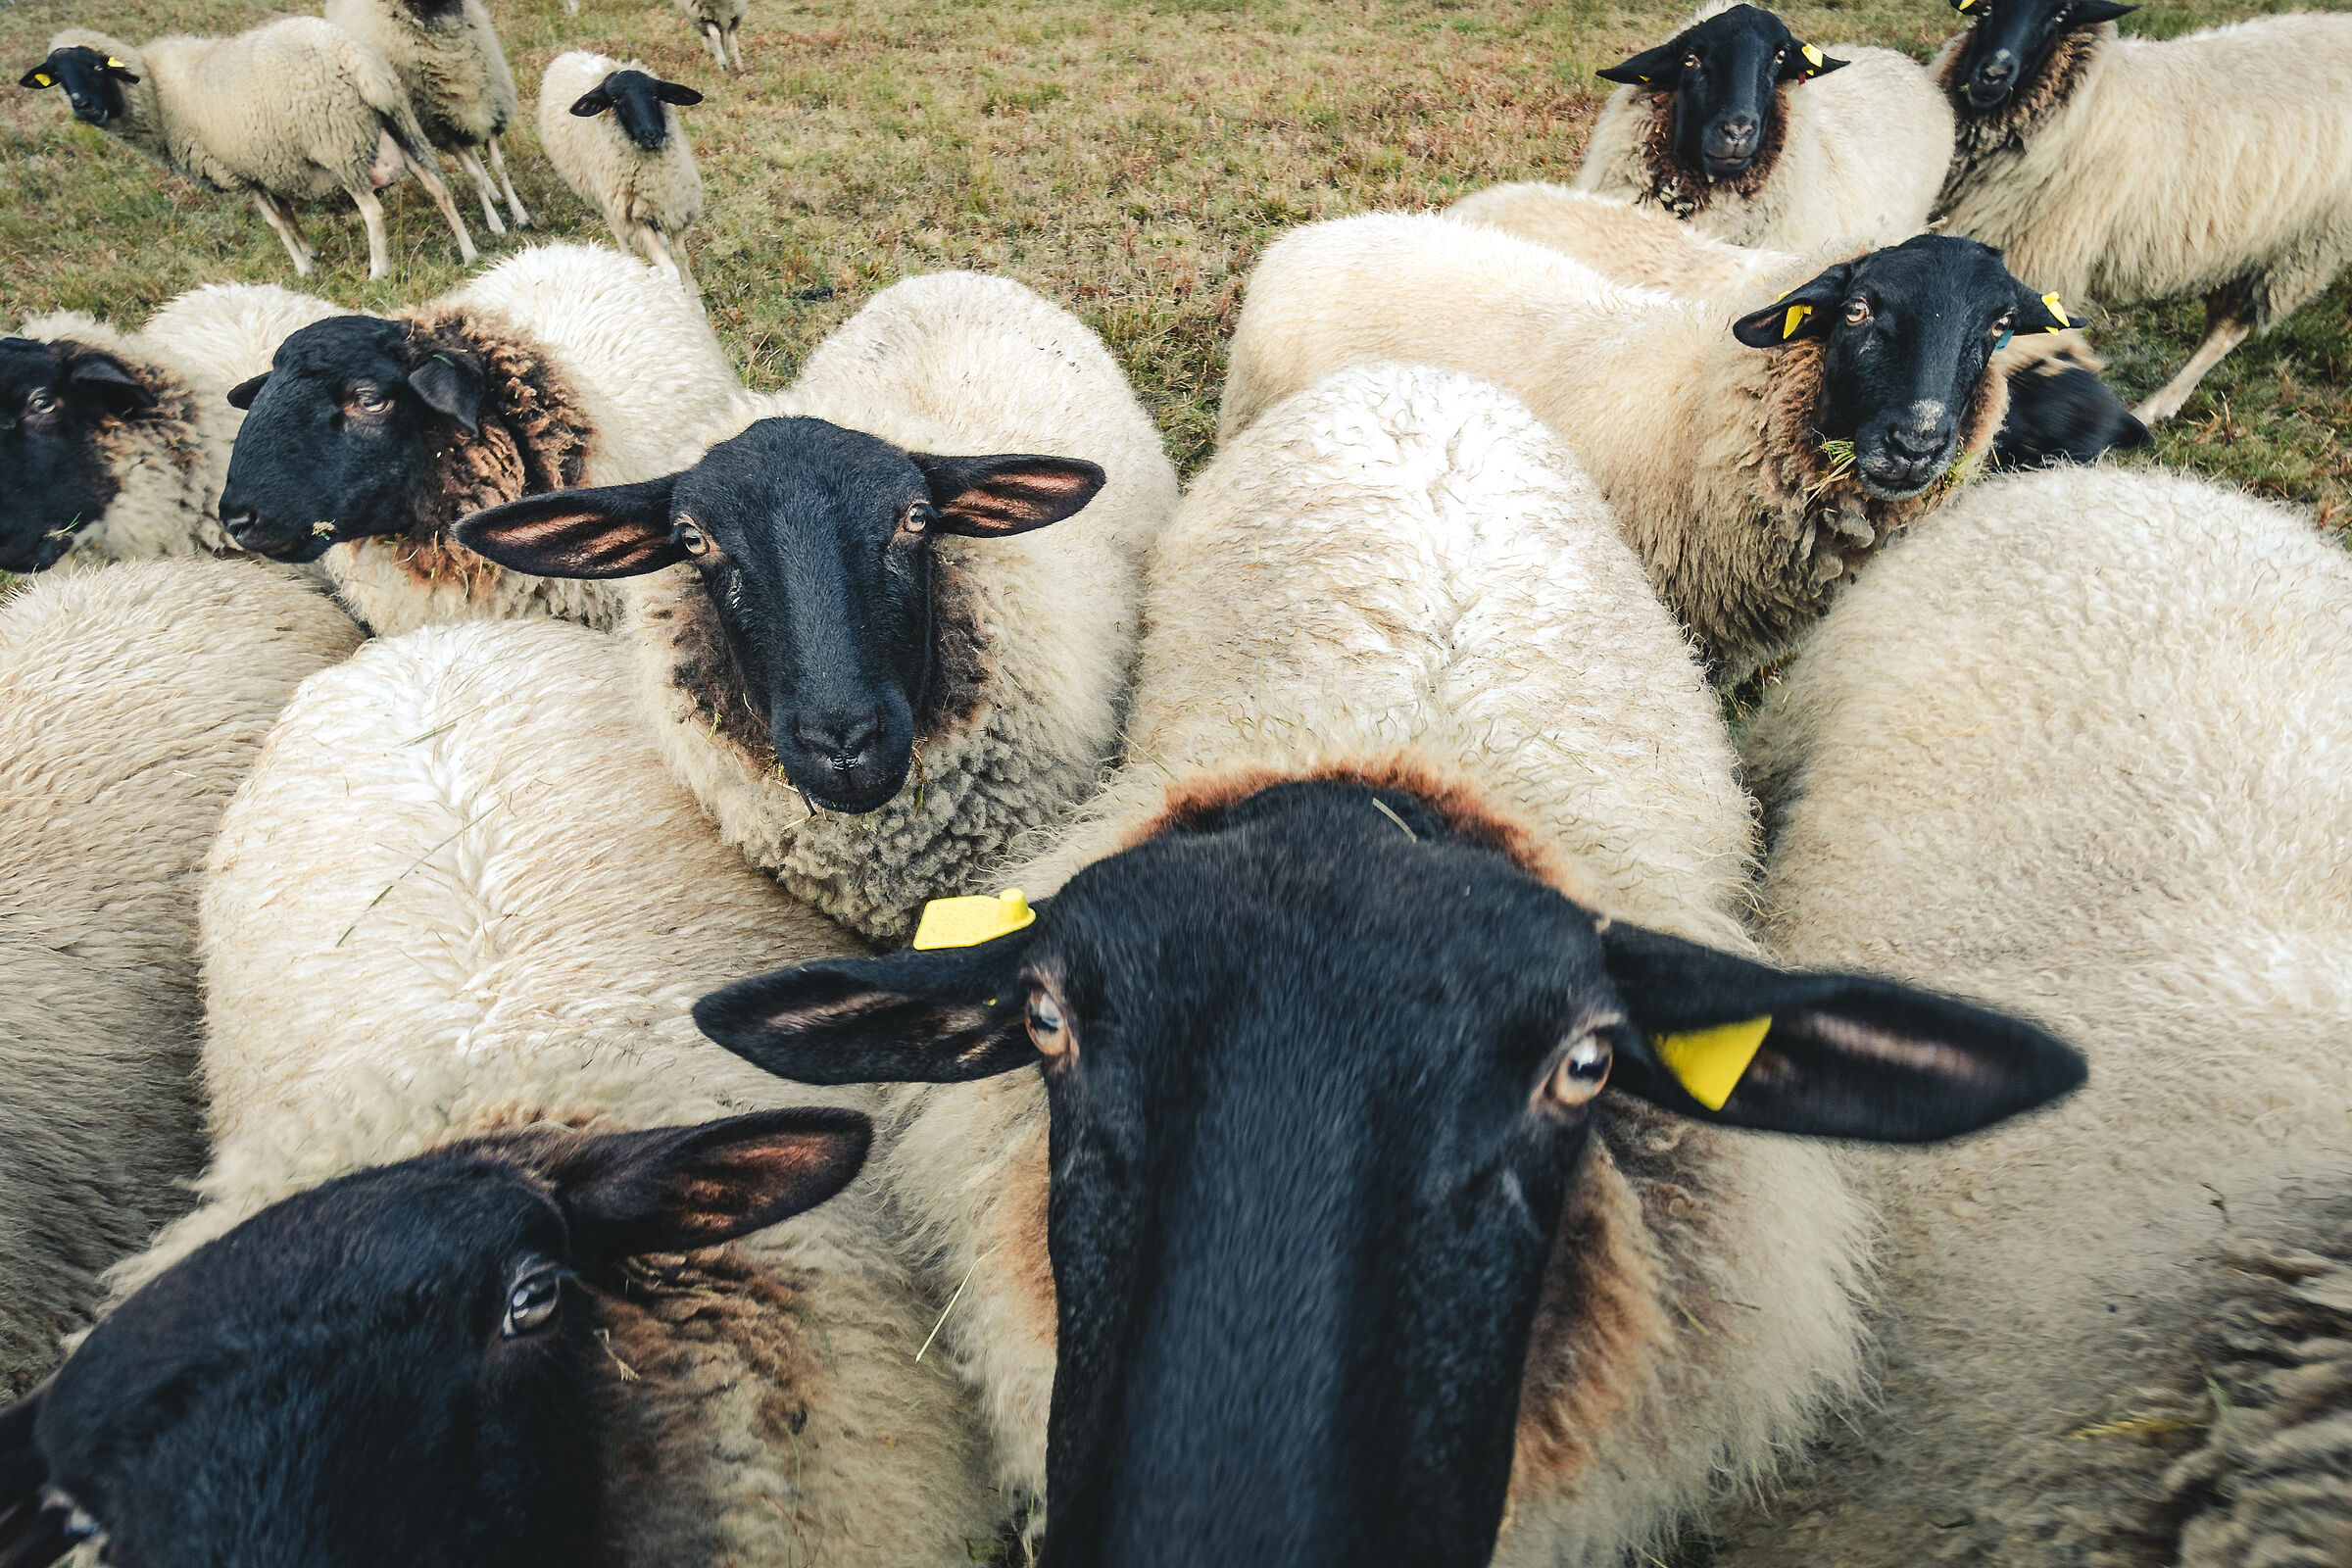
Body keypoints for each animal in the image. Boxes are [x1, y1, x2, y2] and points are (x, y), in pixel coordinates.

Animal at [19, 20, 478, 280]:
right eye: (57, 76)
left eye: (96, 66)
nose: (84, 106)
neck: (155, 92)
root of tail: (353, 57)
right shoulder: (266, 162)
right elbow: (287, 212)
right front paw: (311, 252)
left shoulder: (236, 171)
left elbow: (274, 221)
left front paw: (303, 268)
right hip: (399, 121)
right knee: (438, 187)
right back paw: (469, 252)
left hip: (337, 143)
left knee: (373, 211)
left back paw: (378, 271)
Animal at [323, 0, 532, 236]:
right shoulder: (444, 131)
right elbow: (473, 176)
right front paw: (495, 223)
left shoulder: (491, 112)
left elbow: (499, 166)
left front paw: (520, 214)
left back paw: (493, 191)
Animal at [538, 53, 709, 309]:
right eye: (616, 101)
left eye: (654, 95)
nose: (651, 135)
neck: (654, 178)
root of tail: (568, 55)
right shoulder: (635, 221)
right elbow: (670, 269)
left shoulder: (674, 209)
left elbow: (681, 257)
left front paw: (696, 301)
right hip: (601, 198)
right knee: (618, 232)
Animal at [1932, 2, 2352, 423]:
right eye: (1986, 8)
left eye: (2061, 14)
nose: (1992, 74)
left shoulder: (2036, 261)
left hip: (2294, 253)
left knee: (2226, 331)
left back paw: (2152, 408)